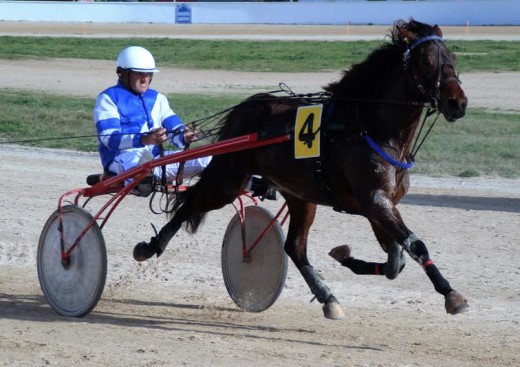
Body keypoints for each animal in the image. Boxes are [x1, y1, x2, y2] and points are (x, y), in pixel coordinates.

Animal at [135, 19, 472, 320]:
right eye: (427, 60)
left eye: (453, 58)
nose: (458, 103)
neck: (370, 127)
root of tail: (244, 108)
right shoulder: (375, 200)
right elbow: (415, 245)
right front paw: (452, 295)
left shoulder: (381, 205)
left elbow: (395, 261)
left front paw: (345, 256)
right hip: (228, 180)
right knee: (191, 202)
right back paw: (151, 246)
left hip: (300, 195)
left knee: (294, 247)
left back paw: (328, 298)